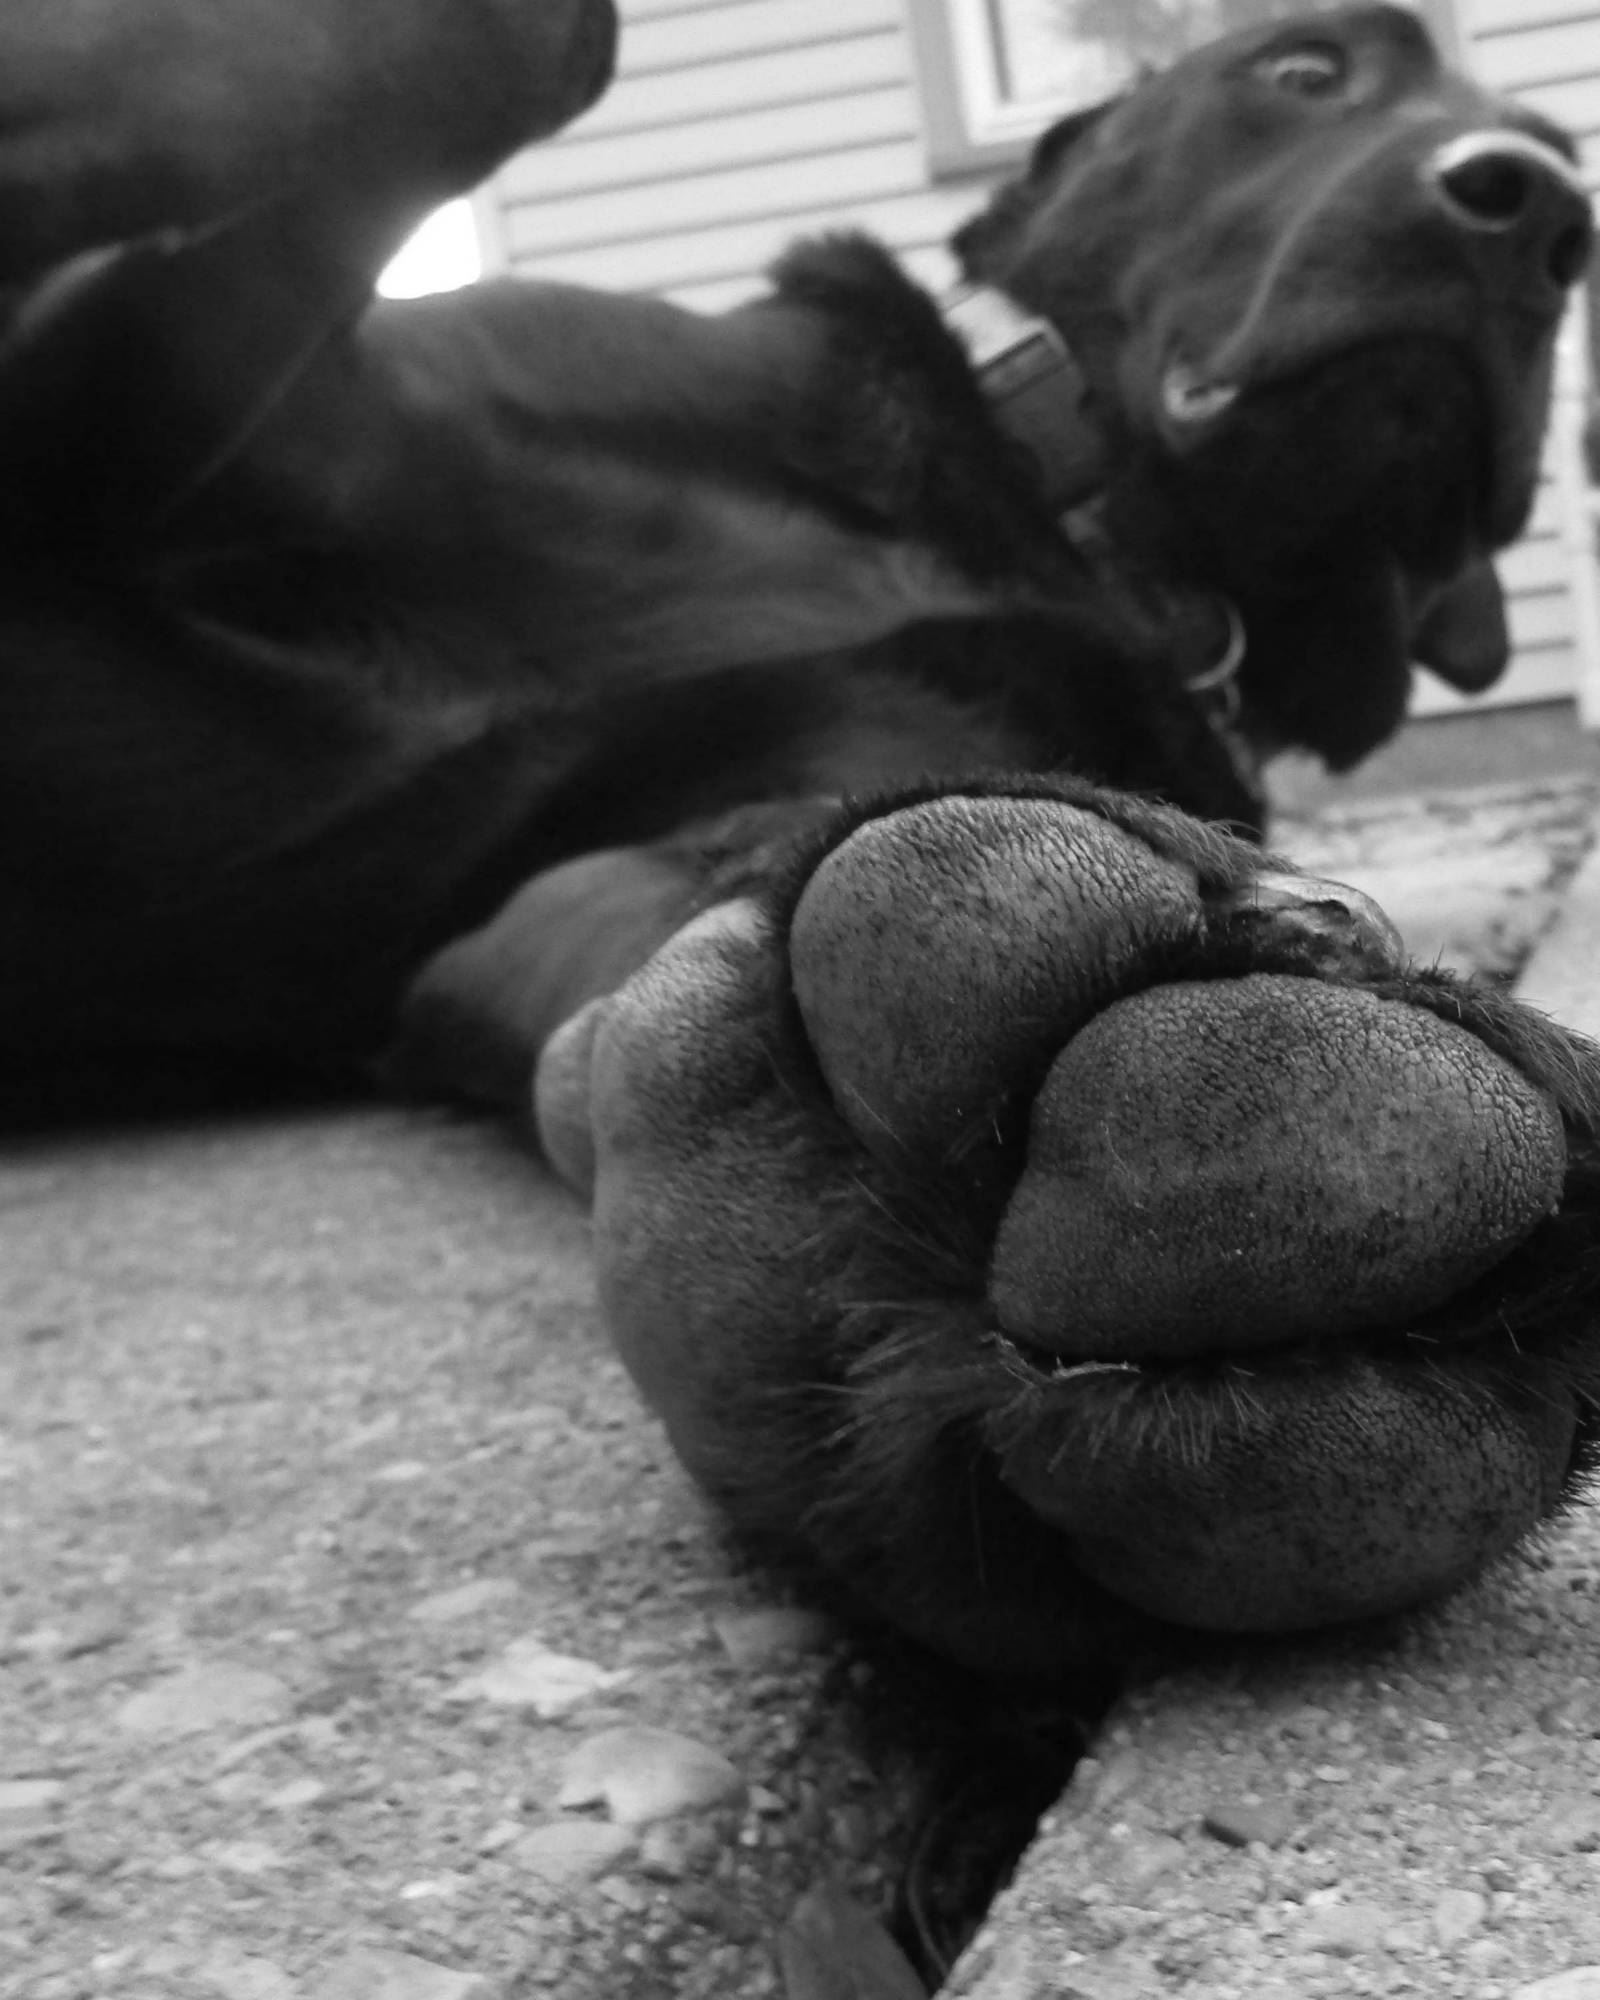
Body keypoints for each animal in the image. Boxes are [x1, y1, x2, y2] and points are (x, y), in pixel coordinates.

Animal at [6, 0, 1600, 1673]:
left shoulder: (571, 880)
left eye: (1574, 181)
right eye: (1300, 71)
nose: (1536, 213)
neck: (1044, 521)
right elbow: (375, 72)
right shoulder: (96, 403)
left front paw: (833, 1217)